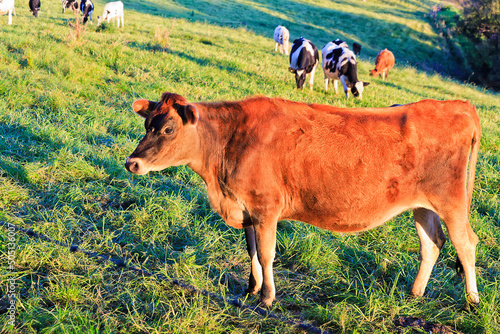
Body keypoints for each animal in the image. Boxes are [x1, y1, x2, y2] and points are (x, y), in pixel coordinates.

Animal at [127, 91, 482, 308]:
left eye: (169, 129)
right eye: (146, 124)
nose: (132, 163)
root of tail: (458, 105)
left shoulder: (266, 207)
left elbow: (267, 253)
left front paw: (267, 297)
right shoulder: (247, 209)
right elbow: (252, 251)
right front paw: (251, 288)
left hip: (451, 201)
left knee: (465, 243)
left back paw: (472, 301)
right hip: (422, 205)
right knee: (432, 243)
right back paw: (415, 293)